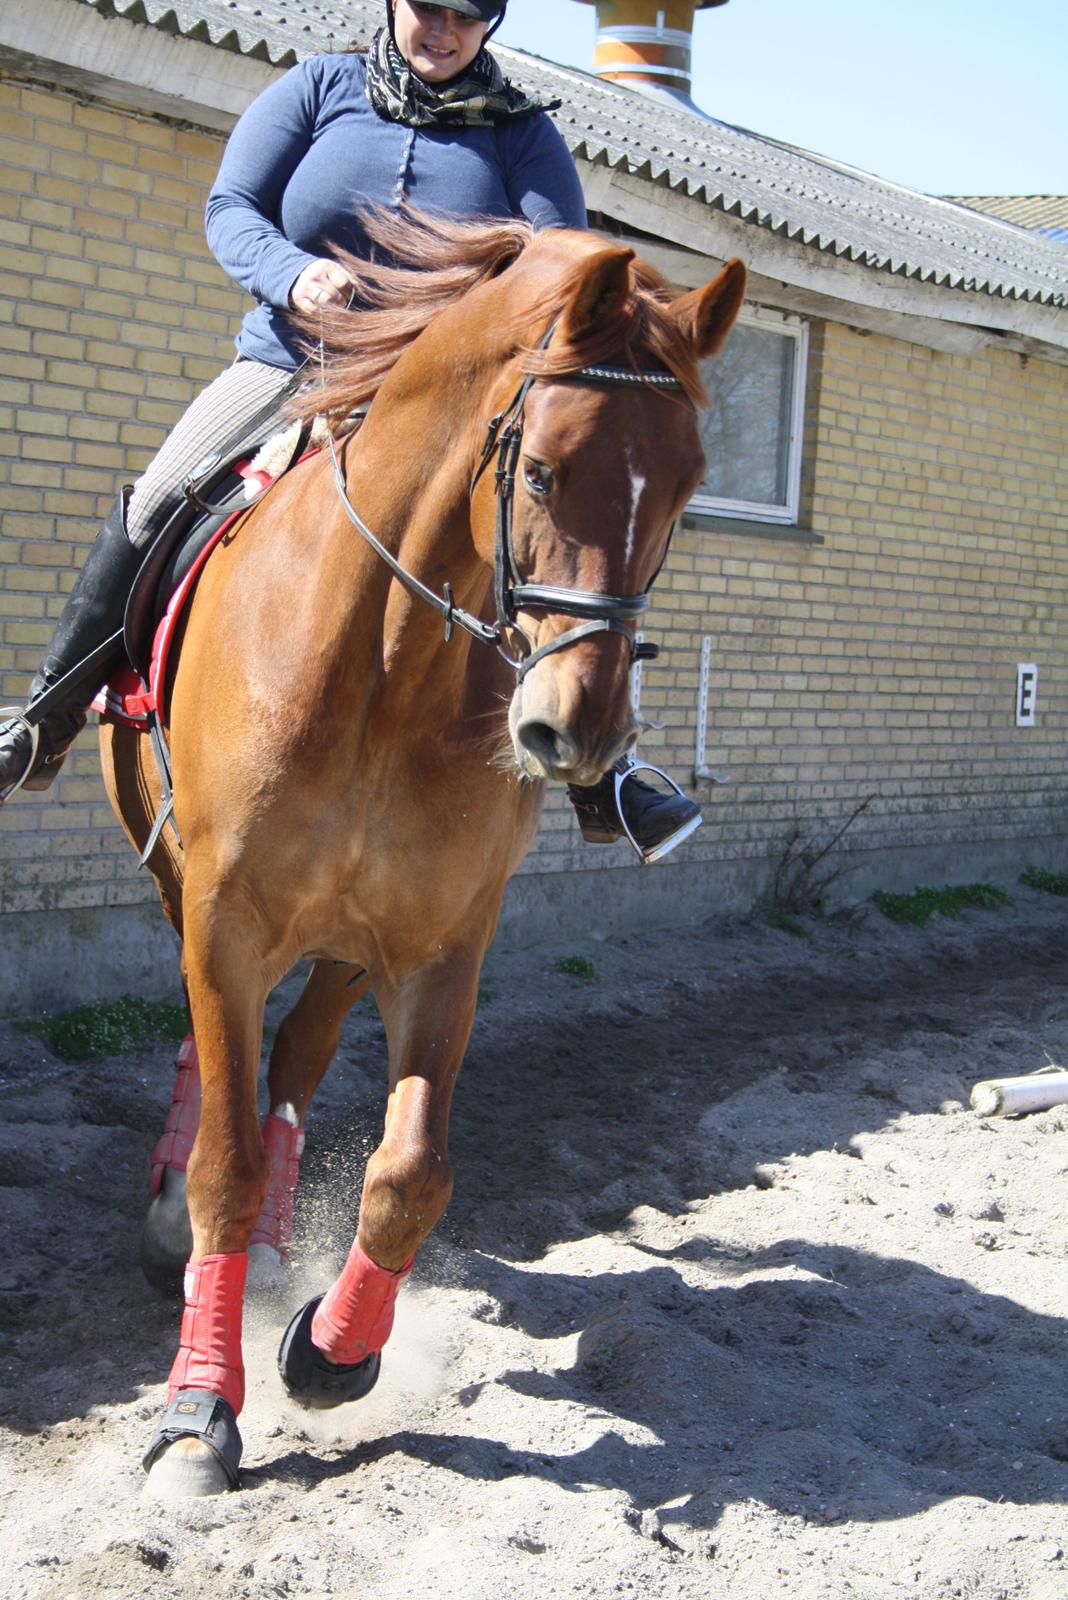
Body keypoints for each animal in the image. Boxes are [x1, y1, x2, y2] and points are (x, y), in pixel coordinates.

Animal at [99, 203, 748, 1497]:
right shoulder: (225, 918)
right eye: (542, 467)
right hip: (186, 889)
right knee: (222, 1066)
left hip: (349, 943)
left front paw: (329, 1352)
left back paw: (275, 1253)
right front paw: (197, 1410)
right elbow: (224, 1158)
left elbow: (410, 1177)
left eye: (688, 487)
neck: (383, 666)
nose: (579, 731)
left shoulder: (444, 944)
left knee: (295, 1064)